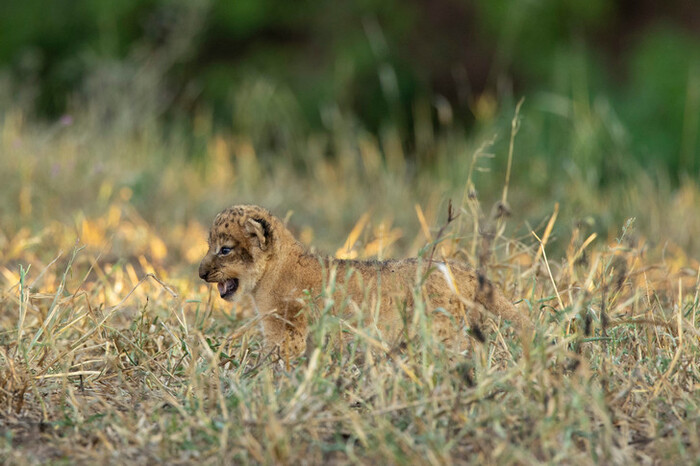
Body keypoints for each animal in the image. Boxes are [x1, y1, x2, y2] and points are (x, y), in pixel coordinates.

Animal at [199, 205, 532, 358]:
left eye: (224, 250)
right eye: (209, 245)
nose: (200, 273)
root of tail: (465, 269)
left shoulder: (288, 329)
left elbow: (277, 360)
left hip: (442, 328)